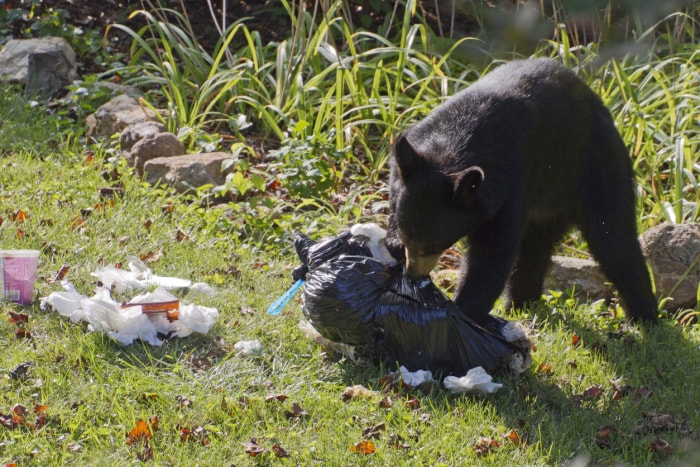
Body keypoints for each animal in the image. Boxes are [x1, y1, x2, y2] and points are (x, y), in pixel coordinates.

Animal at [388, 58, 656, 328]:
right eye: (407, 237)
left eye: (433, 245)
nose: (413, 274)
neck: (452, 147)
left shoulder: (508, 186)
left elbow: (492, 254)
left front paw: (463, 311)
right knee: (535, 247)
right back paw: (522, 301)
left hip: (595, 166)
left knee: (613, 239)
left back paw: (645, 317)